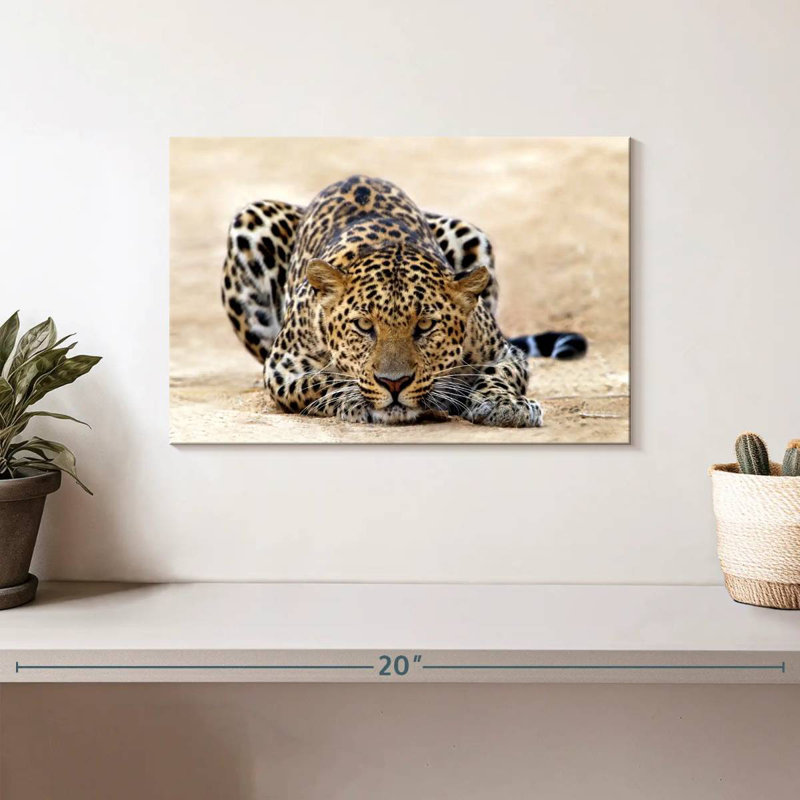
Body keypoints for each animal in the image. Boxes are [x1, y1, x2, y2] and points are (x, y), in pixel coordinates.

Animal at [220, 175, 586, 427]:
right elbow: (323, 380)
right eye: (364, 326)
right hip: (250, 220)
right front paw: (355, 399)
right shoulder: (282, 367)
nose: (394, 383)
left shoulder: (505, 353)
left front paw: (505, 405)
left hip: (468, 232)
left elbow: (498, 374)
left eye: (424, 326)